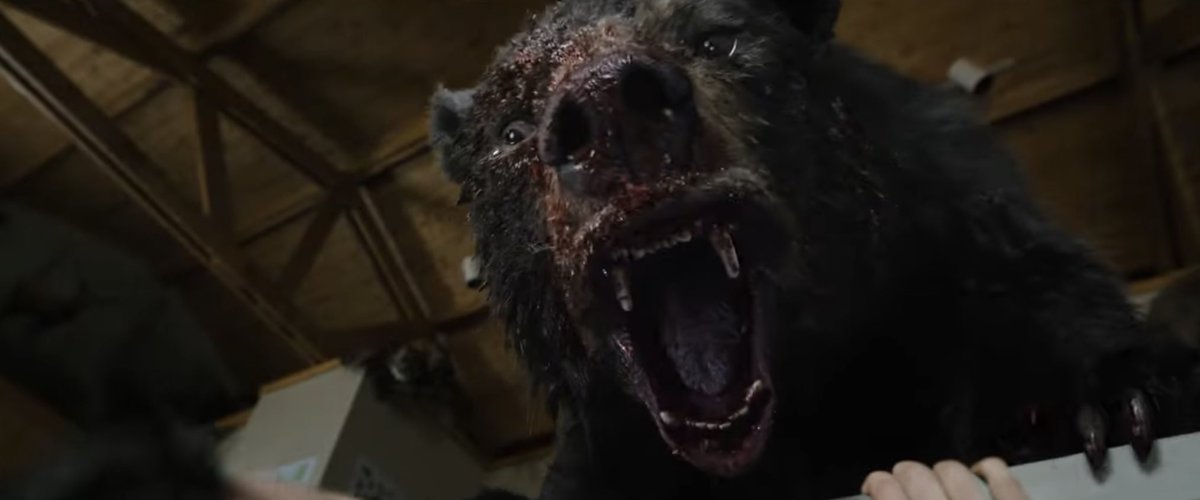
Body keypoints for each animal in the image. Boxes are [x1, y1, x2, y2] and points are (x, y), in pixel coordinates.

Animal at [428, 0, 1197, 498]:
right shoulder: (608, 447)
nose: (608, 102)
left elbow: (1037, 287)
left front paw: (1103, 404)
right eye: (511, 129)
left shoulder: (949, 211)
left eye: (719, 42)